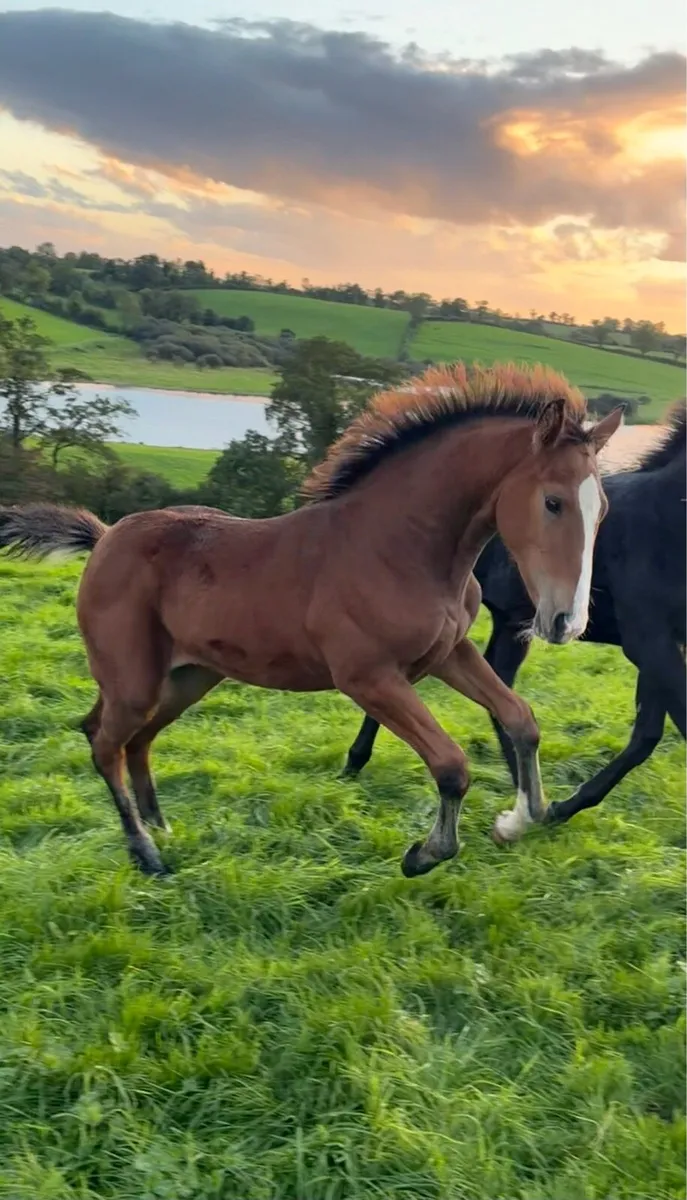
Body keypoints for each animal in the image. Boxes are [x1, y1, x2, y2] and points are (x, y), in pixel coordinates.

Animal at [0, 363, 622, 878]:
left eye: (603, 510)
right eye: (552, 502)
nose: (565, 622)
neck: (402, 550)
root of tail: (105, 537)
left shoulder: (448, 653)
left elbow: (521, 719)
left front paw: (519, 819)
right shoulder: (368, 677)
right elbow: (451, 764)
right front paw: (425, 854)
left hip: (188, 677)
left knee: (134, 739)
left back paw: (161, 826)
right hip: (134, 681)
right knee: (105, 741)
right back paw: (146, 853)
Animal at [344, 402, 685, 829]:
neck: (666, 521)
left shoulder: (663, 644)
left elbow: (646, 734)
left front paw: (559, 807)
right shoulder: (648, 640)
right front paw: (556, 808)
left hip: (509, 626)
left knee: (497, 685)